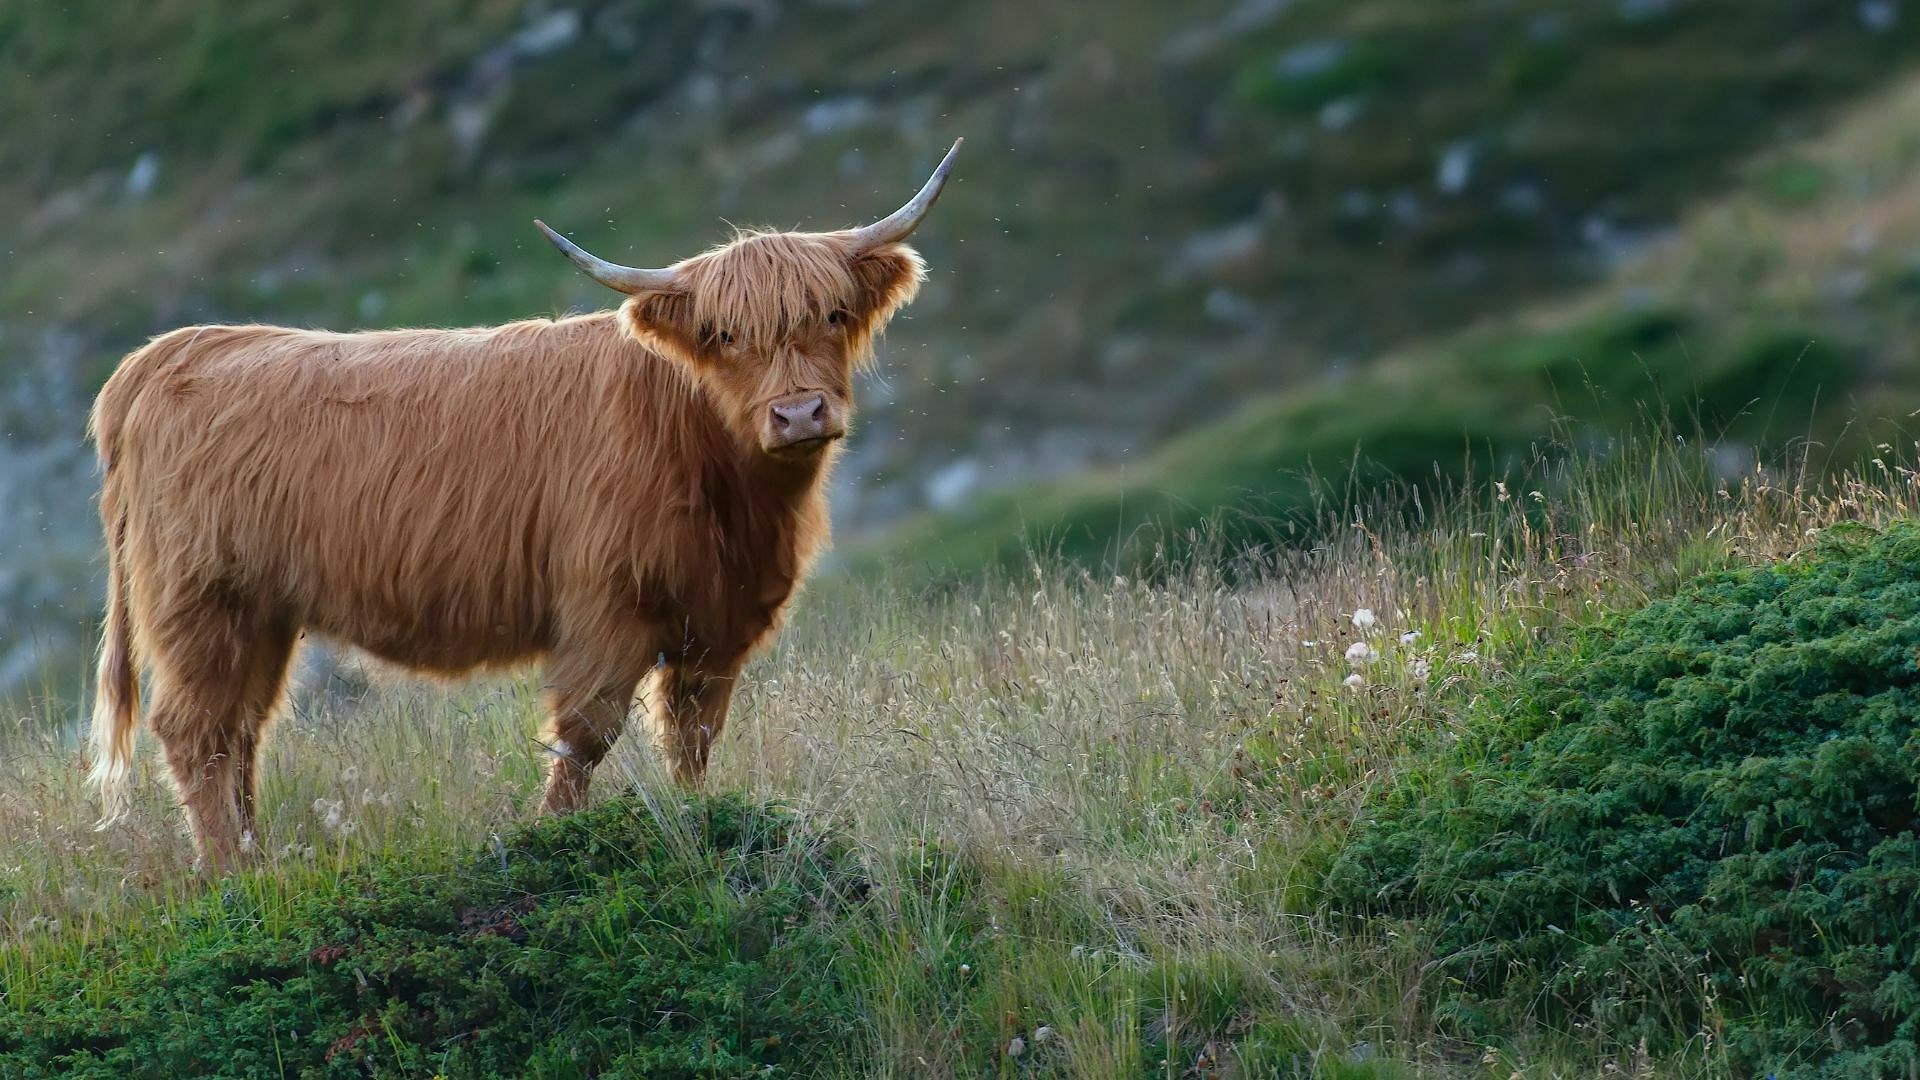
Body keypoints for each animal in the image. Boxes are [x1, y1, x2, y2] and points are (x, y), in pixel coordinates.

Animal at [86, 138, 960, 860]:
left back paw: (254, 860)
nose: (799, 413)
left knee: (241, 732)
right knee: (198, 732)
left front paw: (699, 818)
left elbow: (692, 737)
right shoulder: (605, 607)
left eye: (834, 314)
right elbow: (585, 735)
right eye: (724, 336)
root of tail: (165, 355)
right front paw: (554, 836)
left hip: (262, 615)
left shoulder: (717, 621)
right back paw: (230, 876)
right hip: (201, 601)